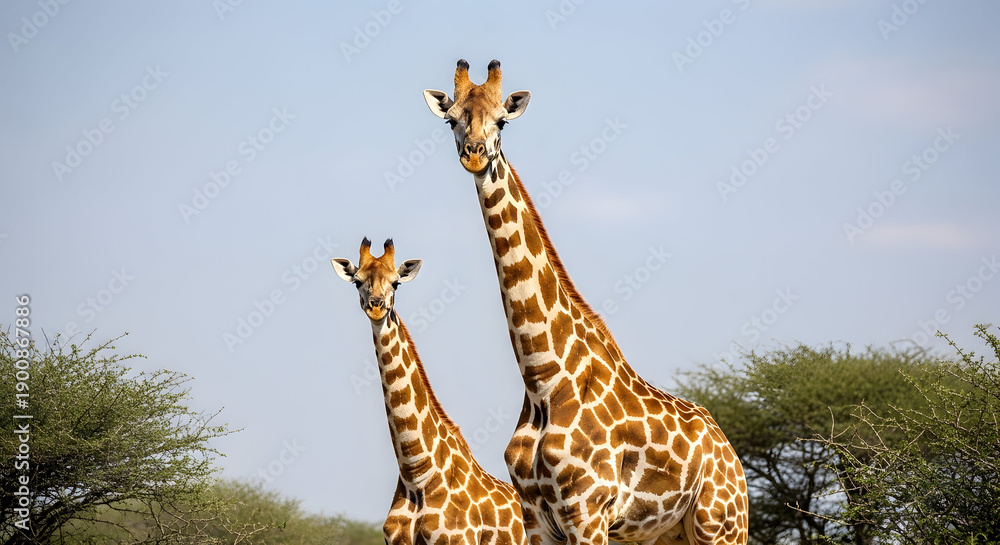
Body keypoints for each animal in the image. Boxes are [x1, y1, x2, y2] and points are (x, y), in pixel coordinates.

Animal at [422, 61, 748, 545]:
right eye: (451, 120)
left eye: (502, 121)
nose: (475, 155)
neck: (543, 380)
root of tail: (730, 452)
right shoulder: (536, 520)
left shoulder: (587, 513)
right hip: (667, 533)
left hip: (721, 523)